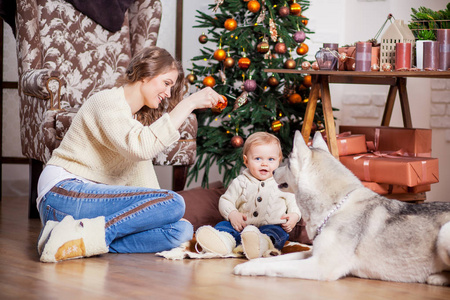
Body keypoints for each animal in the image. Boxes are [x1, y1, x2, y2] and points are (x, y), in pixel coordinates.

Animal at [234, 130, 450, 284]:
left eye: (286, 163)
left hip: (445, 233)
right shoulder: (311, 253)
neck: (336, 207)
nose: (272, 171)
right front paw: (252, 262)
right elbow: (274, 260)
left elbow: (276, 267)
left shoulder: (320, 266)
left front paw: (248, 268)